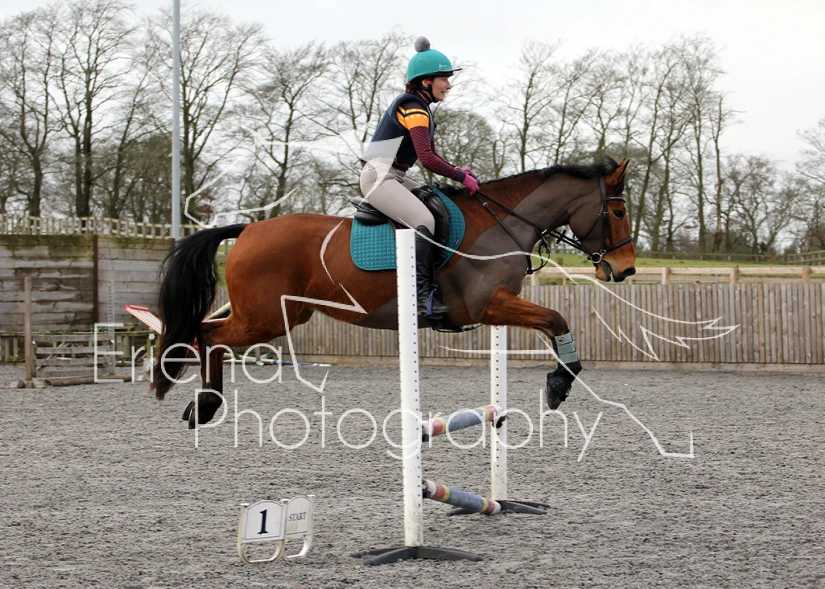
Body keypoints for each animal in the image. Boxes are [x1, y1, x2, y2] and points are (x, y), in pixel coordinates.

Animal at [152, 156, 637, 428]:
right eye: (616, 212)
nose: (625, 269)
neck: (502, 222)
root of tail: (248, 229)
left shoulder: (499, 306)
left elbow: (552, 324)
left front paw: (559, 380)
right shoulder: (487, 304)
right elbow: (557, 319)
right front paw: (559, 383)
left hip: (278, 315)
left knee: (206, 331)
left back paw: (202, 405)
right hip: (266, 318)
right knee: (206, 334)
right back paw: (206, 405)